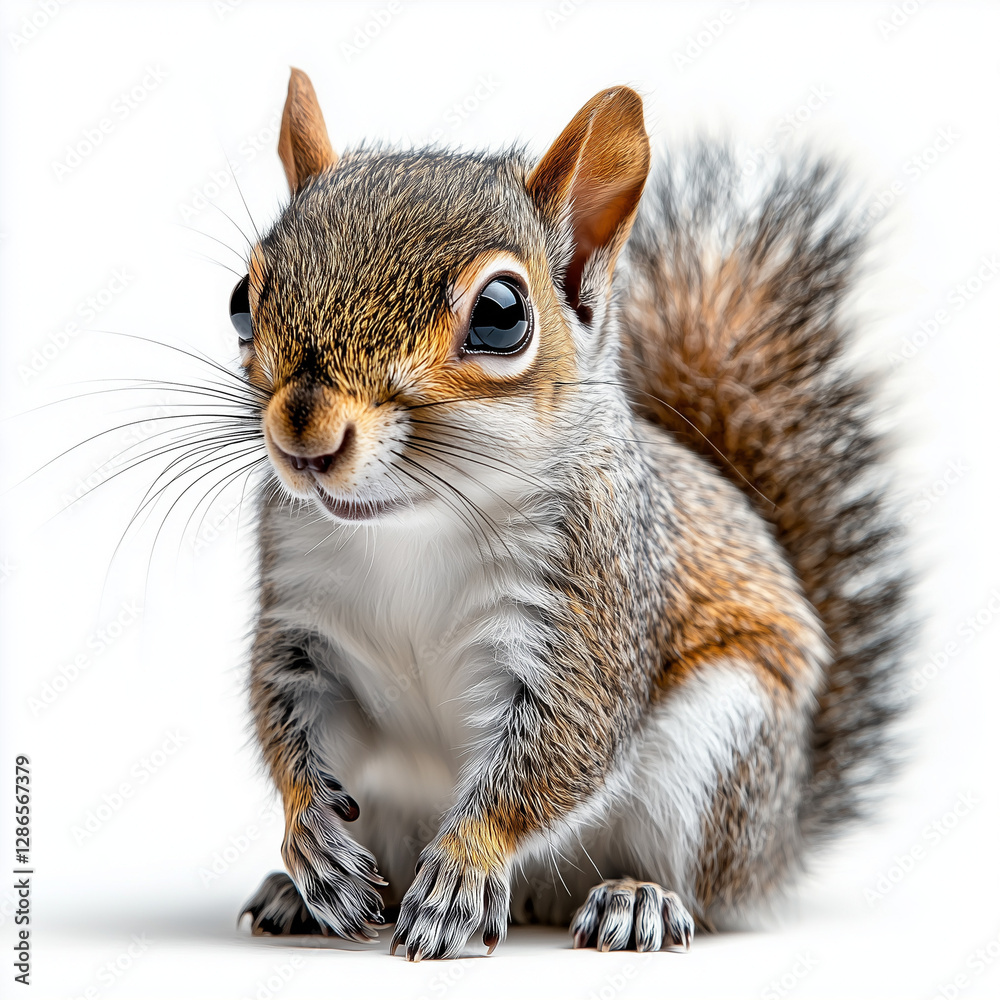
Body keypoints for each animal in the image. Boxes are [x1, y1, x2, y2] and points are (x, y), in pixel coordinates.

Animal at [236, 68, 910, 960]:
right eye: (242, 301)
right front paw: (308, 831)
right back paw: (300, 896)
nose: (304, 432)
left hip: (722, 751)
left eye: (501, 313)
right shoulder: (305, 621)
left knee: (702, 888)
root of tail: (779, 837)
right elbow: (286, 722)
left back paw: (639, 899)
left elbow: (560, 751)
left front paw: (459, 874)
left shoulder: (590, 614)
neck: (409, 527)